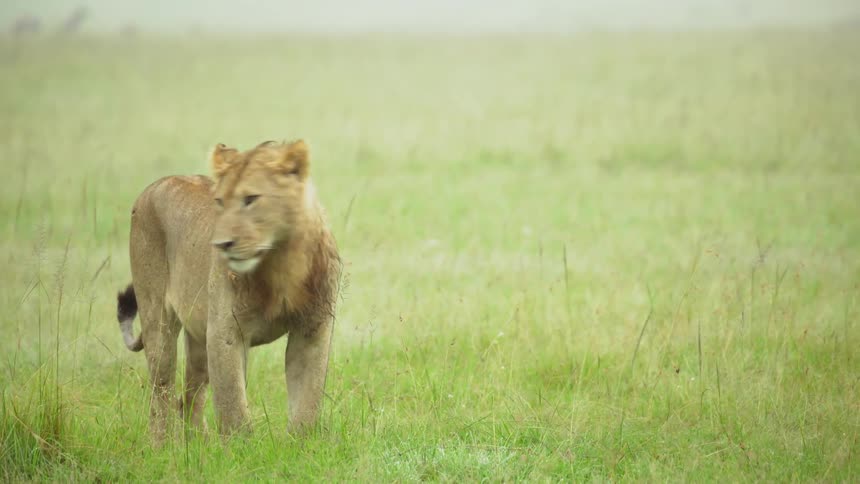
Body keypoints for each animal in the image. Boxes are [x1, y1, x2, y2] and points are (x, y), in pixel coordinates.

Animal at [116, 139, 341, 442]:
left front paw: (302, 443)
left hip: (198, 337)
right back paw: (161, 446)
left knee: (189, 398)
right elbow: (233, 403)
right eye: (220, 201)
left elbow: (307, 399)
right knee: (160, 393)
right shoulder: (225, 332)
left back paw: (201, 444)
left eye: (251, 199)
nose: (222, 244)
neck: (282, 260)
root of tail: (153, 187)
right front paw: (242, 448)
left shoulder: (312, 328)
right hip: (158, 321)